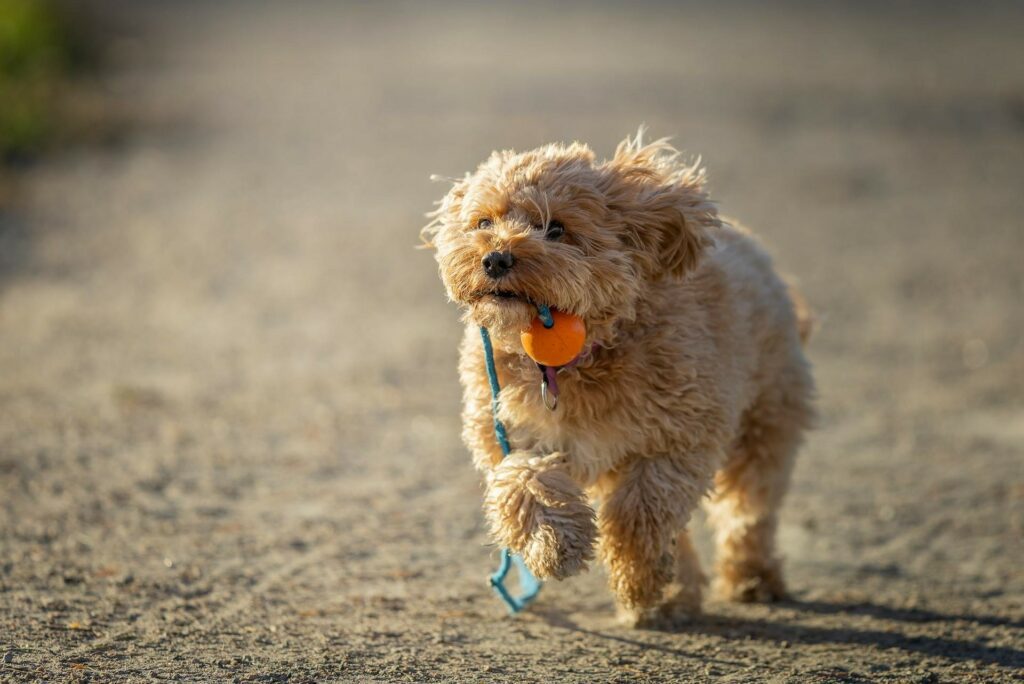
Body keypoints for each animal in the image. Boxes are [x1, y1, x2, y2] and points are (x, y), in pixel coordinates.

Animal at [419, 131, 811, 626]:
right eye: (483, 221)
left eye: (556, 229)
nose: (494, 259)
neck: (576, 356)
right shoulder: (513, 430)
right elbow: (525, 479)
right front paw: (555, 544)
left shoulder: (678, 438)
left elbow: (639, 515)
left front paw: (637, 581)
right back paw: (677, 593)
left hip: (765, 420)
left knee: (748, 508)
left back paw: (750, 578)